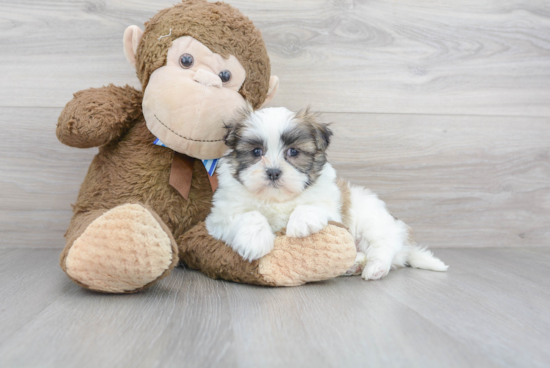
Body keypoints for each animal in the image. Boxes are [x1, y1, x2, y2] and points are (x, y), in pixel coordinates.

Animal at [206, 106, 448, 278]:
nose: (273, 172)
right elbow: (250, 214)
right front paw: (254, 241)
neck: (277, 199)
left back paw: (375, 267)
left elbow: (312, 205)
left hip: (372, 221)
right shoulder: (220, 216)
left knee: (384, 245)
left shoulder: (331, 208)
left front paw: (301, 222)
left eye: (293, 152)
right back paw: (354, 265)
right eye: (256, 152)